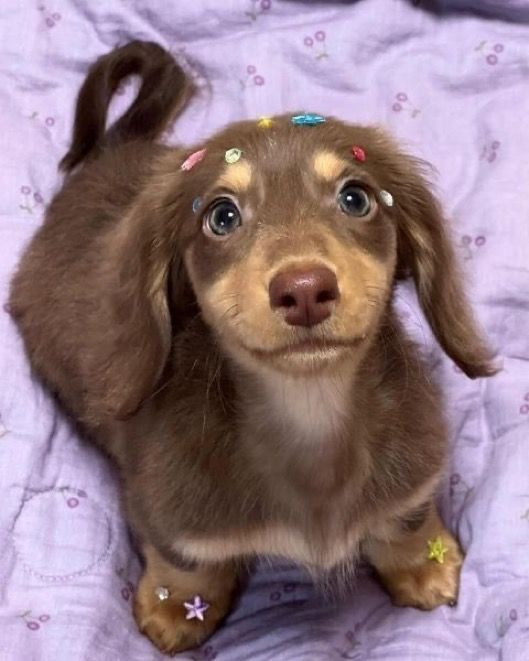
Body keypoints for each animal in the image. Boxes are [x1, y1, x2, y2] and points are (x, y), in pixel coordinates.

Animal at [7, 41, 496, 656]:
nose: (305, 289)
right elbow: (185, 560)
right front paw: (177, 608)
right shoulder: (165, 508)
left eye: (356, 198)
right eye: (222, 216)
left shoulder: (414, 465)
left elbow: (405, 516)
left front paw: (422, 564)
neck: (309, 414)